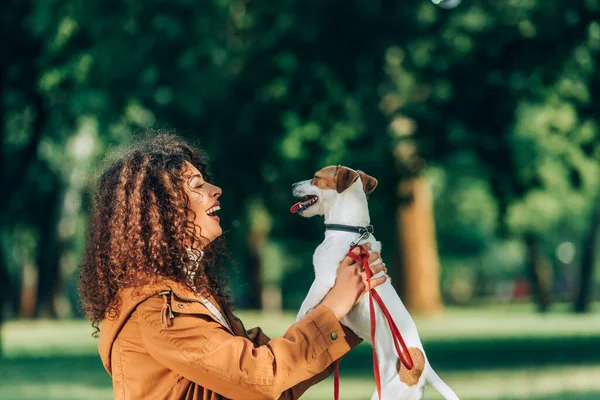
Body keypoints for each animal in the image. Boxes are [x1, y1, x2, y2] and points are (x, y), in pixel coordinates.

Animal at [292, 165, 460, 400]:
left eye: (315, 178)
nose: (292, 185)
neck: (349, 231)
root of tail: (424, 369)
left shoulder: (323, 279)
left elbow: (304, 306)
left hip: (387, 394)